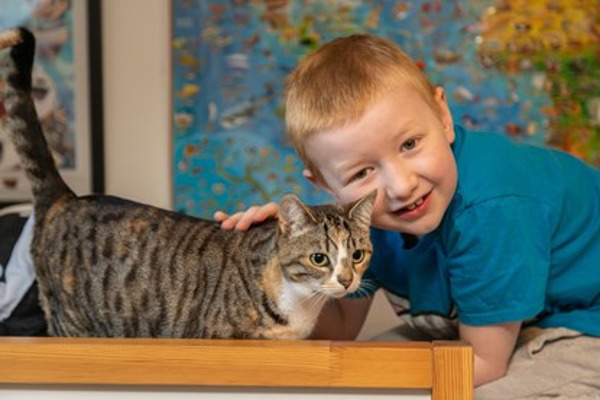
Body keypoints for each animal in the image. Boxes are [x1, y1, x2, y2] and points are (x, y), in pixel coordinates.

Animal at [0, 28, 376, 340]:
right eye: (319, 258)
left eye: (357, 255)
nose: (347, 279)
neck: (299, 303)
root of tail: (67, 197)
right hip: (71, 320)